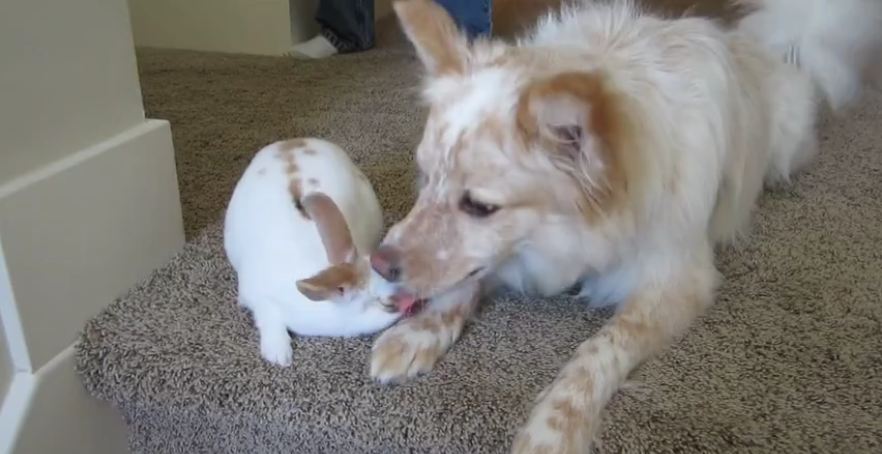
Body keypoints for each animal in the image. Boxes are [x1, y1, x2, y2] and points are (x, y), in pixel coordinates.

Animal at [225, 137, 408, 366]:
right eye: (382, 302)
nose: (411, 300)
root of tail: (292, 141)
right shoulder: (257, 298)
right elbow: (269, 319)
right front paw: (279, 355)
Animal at [366, 0, 880, 450]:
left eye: (479, 206)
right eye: (426, 177)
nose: (377, 263)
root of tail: (774, 52)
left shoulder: (678, 280)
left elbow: (601, 350)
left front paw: (554, 428)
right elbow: (467, 277)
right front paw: (418, 331)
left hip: (785, 150)